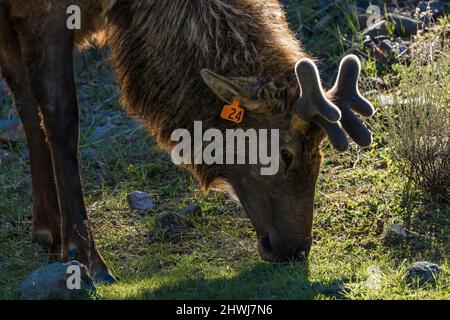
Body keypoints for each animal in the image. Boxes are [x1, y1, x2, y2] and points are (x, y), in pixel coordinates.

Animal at [0, 0, 374, 284]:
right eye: (286, 153)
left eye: (320, 155)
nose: (296, 250)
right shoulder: (43, 14)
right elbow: (61, 118)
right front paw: (86, 256)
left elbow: (28, 110)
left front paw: (48, 230)